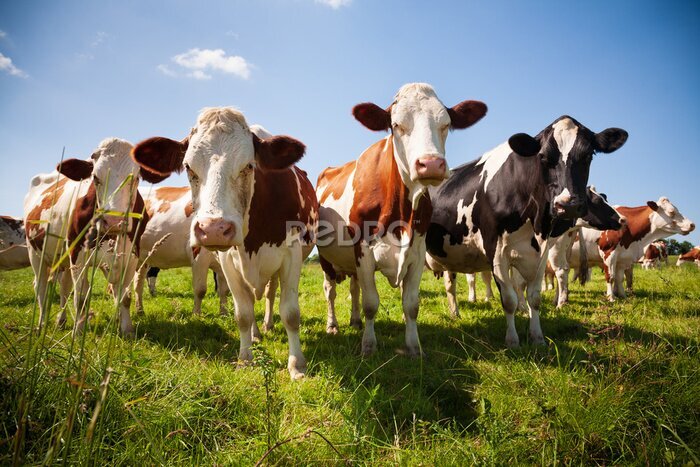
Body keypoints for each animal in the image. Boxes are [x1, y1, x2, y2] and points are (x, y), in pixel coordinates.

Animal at [24, 137, 152, 335]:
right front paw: (78, 331)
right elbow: (81, 298)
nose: (113, 221)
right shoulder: (77, 254)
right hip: (35, 252)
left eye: (136, 178)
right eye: (95, 177)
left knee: (64, 287)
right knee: (41, 287)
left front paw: (127, 330)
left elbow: (124, 297)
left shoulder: (131, 256)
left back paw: (61, 321)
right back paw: (41, 324)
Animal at [134, 186, 230, 316]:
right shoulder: (199, 256)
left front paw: (224, 314)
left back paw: (140, 311)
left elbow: (224, 290)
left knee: (138, 283)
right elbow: (200, 289)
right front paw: (196, 315)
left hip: (142, 259)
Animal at [317, 83, 487, 356]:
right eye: (396, 125)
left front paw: (414, 348)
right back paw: (333, 325)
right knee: (330, 291)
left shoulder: (416, 254)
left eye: (446, 124)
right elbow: (371, 303)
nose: (431, 164)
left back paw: (354, 321)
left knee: (354, 288)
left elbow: (411, 305)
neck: (400, 213)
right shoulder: (363, 252)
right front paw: (368, 346)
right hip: (325, 259)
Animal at [426, 116, 629, 347]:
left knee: (449, 284)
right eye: (543, 157)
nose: (567, 205)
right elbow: (509, 299)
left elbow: (534, 297)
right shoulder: (497, 252)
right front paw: (512, 340)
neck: (536, 222)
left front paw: (537, 337)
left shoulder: (541, 253)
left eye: (588, 155)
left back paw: (454, 313)